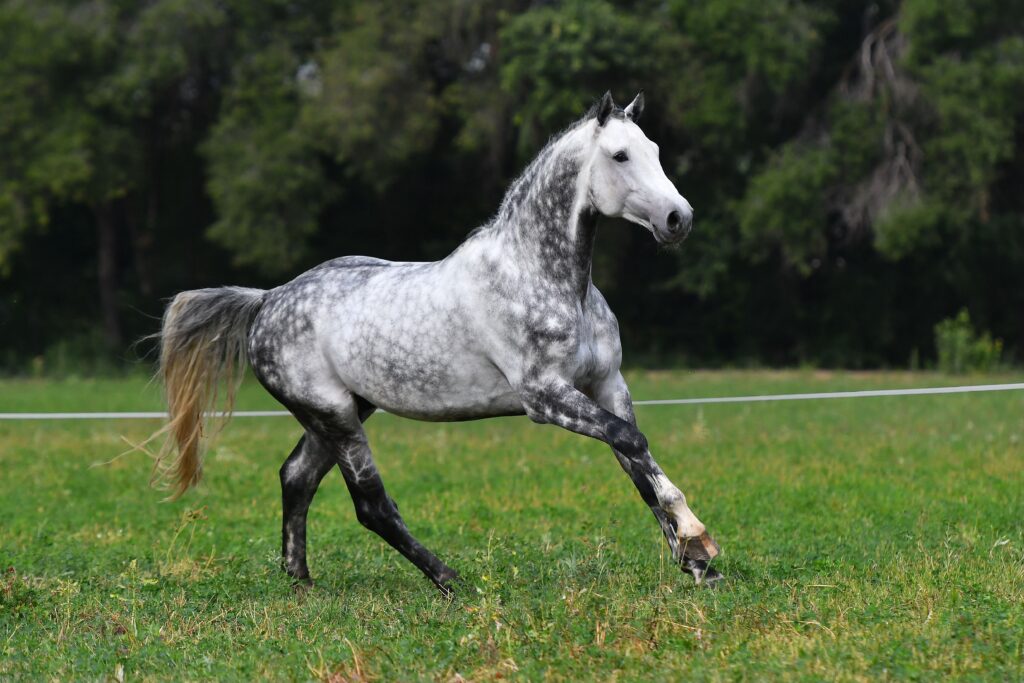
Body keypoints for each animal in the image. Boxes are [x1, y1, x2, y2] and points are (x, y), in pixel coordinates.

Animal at [151, 91, 721, 594]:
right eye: (619, 155)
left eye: (655, 150)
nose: (679, 219)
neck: (541, 276)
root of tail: (268, 300)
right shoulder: (545, 397)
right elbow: (632, 444)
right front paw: (698, 542)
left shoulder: (607, 384)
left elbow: (635, 464)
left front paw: (695, 563)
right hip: (334, 415)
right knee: (371, 506)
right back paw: (450, 581)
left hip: (340, 413)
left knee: (297, 477)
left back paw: (301, 582)